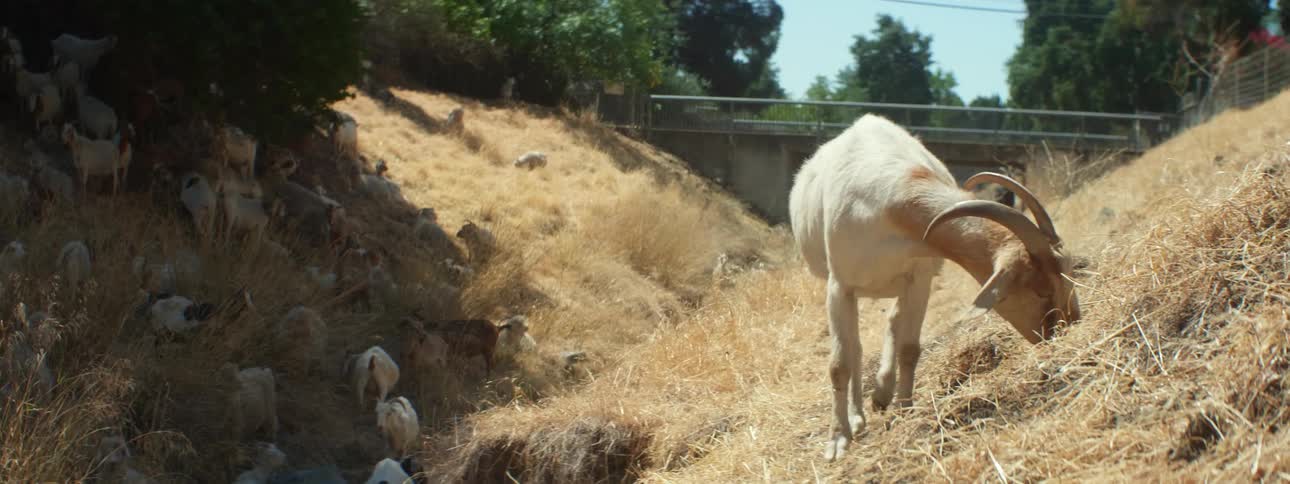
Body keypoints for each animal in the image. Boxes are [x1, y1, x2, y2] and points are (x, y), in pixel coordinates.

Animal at [787, 114, 1080, 461]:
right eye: (1041, 291)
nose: (1070, 325)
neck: (890, 201)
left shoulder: (920, 277)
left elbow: (910, 349)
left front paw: (903, 409)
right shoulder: (839, 285)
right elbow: (840, 362)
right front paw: (837, 440)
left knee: (892, 322)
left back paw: (882, 393)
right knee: (856, 347)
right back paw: (858, 417)